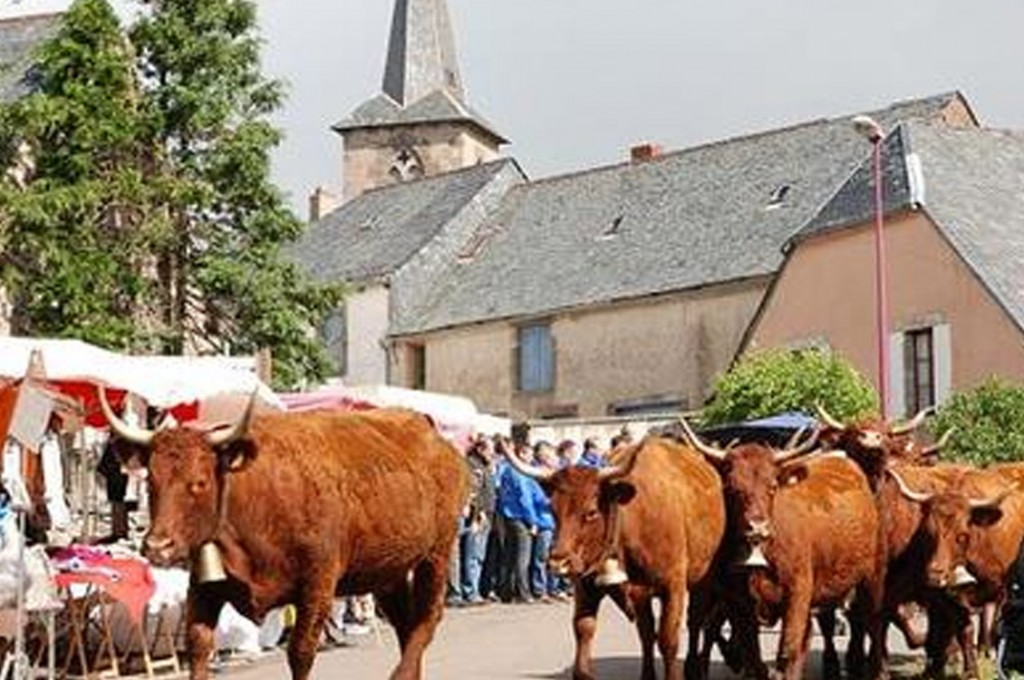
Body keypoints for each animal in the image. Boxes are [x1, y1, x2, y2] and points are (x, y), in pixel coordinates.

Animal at [99, 391, 468, 680]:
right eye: (151, 480)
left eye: (199, 482)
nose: (157, 546)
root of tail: (432, 433)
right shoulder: (204, 588)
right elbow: (198, 646)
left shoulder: (318, 583)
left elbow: (300, 652)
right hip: (387, 570)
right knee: (406, 625)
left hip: (437, 554)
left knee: (427, 619)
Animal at [501, 436, 724, 680]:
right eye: (552, 510)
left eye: (591, 512)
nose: (558, 562)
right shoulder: (587, 585)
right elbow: (584, 629)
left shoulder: (674, 585)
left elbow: (668, 639)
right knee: (647, 632)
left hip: (703, 578)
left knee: (695, 621)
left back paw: (694, 667)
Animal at [675, 419, 884, 680]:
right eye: (731, 489)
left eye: (772, 486)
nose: (757, 527)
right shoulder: (738, 603)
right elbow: (753, 658)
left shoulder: (798, 593)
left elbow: (788, 651)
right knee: (699, 623)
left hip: (870, 577)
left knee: (870, 622)